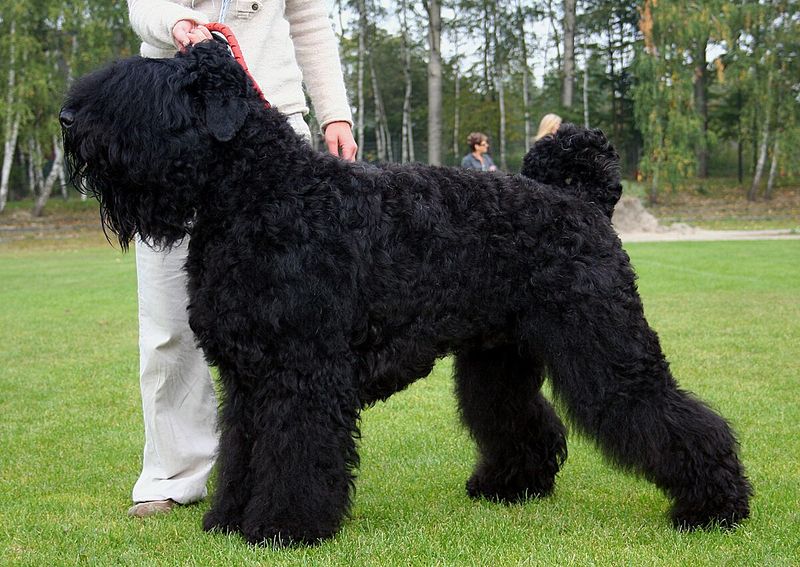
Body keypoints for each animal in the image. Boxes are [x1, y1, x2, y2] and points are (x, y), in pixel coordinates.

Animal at [61, 40, 752, 544]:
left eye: (151, 92)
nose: (68, 120)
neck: (262, 193)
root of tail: (582, 200)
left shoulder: (300, 372)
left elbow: (293, 453)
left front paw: (283, 527)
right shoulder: (249, 377)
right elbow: (241, 451)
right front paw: (228, 519)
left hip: (604, 344)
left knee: (670, 414)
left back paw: (715, 506)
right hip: (498, 358)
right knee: (521, 418)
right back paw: (509, 486)